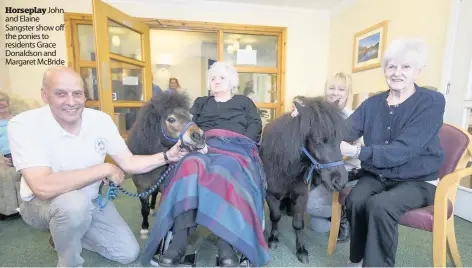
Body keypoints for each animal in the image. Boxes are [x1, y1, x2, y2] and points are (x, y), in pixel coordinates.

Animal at [126, 91, 206, 240]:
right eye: (171, 119)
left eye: (190, 116)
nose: (200, 136)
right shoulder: (141, 189)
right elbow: (144, 209)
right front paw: (144, 228)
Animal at [260, 97, 348, 264]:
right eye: (318, 141)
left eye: (340, 140)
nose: (340, 181)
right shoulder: (271, 195)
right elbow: (275, 216)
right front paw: (273, 238)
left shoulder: (301, 196)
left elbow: (298, 224)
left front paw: (301, 250)